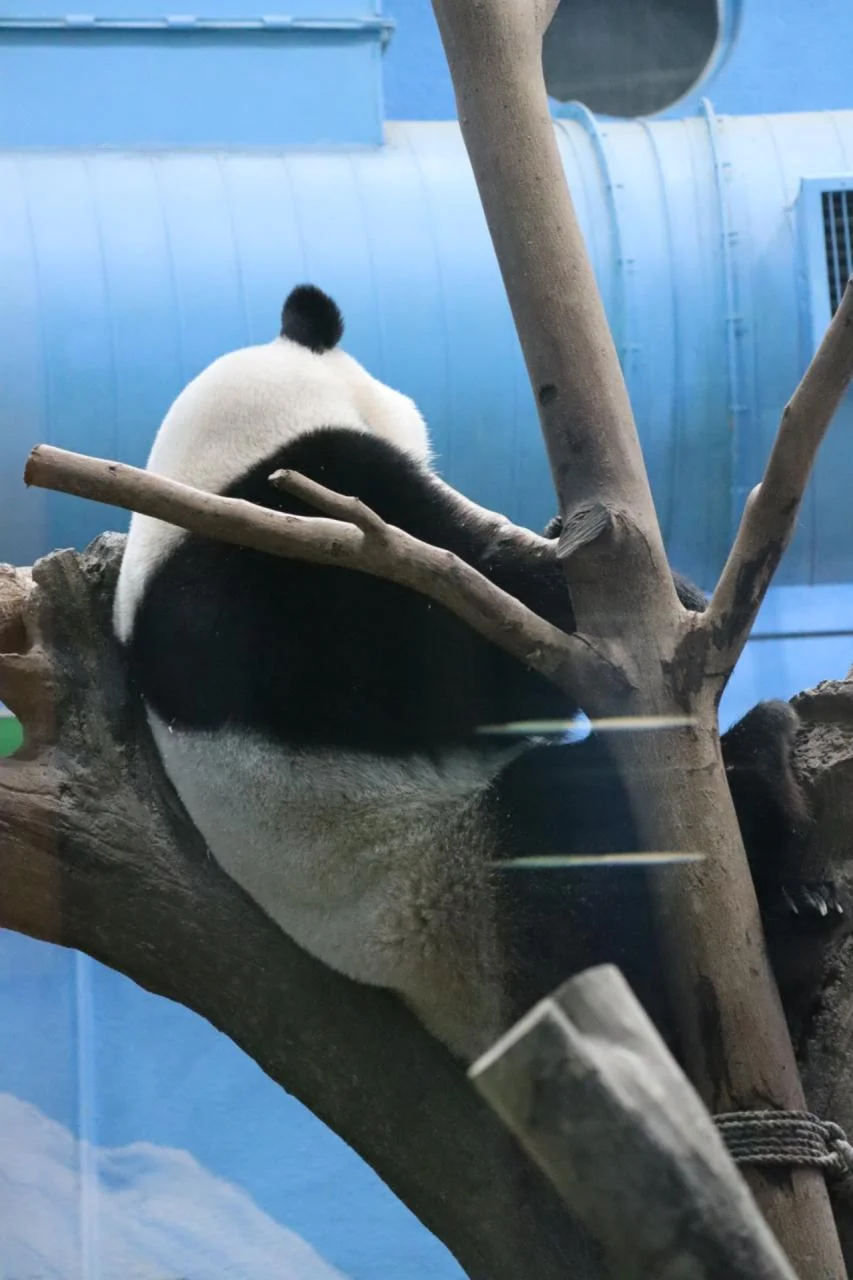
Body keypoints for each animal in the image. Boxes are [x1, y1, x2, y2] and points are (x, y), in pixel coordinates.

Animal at [114, 283, 824, 1062]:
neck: (210, 471)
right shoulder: (293, 553)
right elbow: (468, 671)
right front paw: (648, 597)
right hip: (461, 883)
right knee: (583, 851)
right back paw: (772, 825)